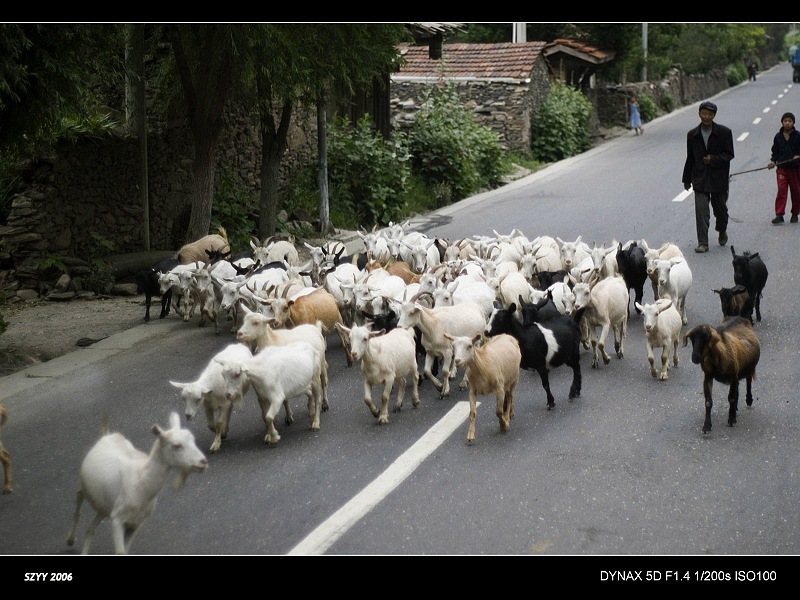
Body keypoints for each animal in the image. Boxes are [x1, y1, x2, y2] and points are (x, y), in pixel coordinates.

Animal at [66, 412, 208, 555]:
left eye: (193, 440)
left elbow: (126, 550)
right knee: (77, 507)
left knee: (90, 529)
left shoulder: (135, 523)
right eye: (177, 445)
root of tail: (108, 434)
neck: (141, 482)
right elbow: (120, 552)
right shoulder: (117, 520)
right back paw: (70, 539)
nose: (203, 462)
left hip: (104, 507)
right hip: (83, 488)